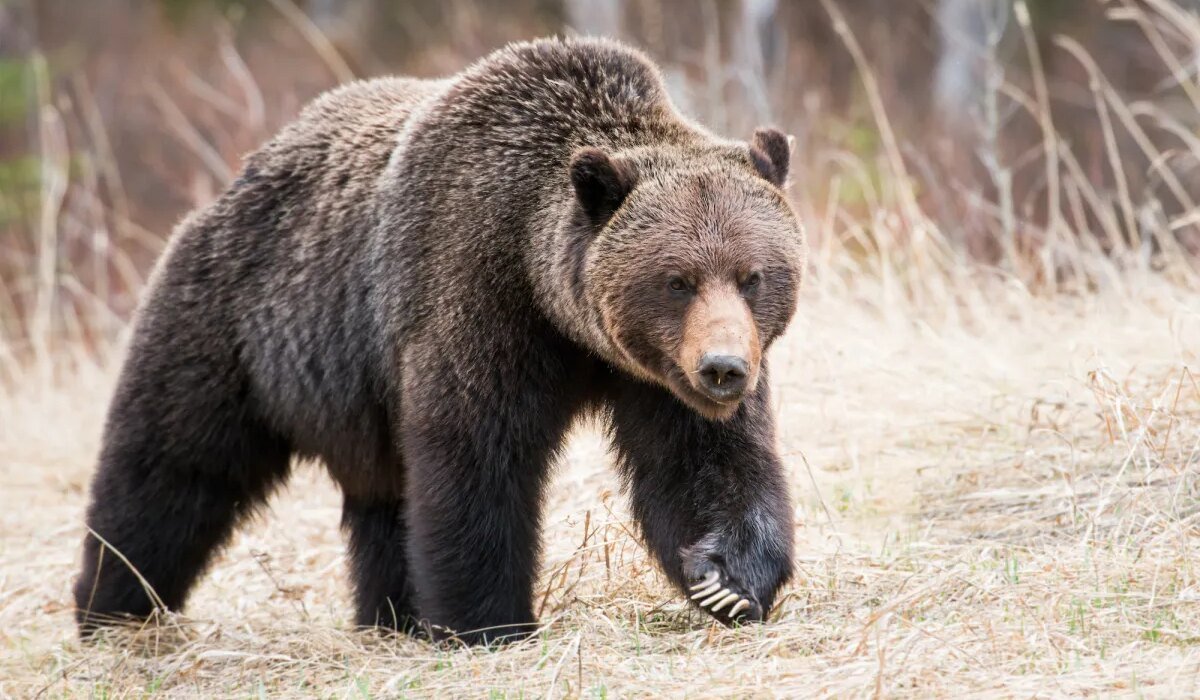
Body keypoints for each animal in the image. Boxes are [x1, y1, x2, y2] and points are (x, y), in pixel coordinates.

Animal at [73, 37, 804, 645]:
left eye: (752, 275)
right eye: (677, 279)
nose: (723, 369)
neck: (558, 311)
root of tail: (235, 180)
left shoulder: (652, 374)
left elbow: (704, 462)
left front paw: (727, 580)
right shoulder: (474, 295)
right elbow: (474, 459)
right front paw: (489, 623)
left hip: (354, 401)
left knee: (381, 503)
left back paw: (390, 615)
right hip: (238, 326)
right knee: (170, 468)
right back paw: (111, 609)